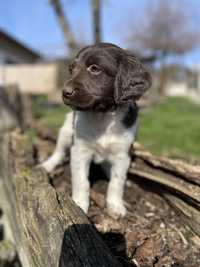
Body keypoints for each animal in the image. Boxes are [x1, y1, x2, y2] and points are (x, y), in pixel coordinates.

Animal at [42, 43, 152, 217]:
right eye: (71, 69)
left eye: (95, 68)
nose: (65, 93)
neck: (102, 115)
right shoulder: (79, 150)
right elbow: (81, 181)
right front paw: (79, 204)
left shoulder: (123, 153)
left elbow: (116, 181)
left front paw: (115, 206)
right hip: (65, 132)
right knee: (58, 152)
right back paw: (47, 165)